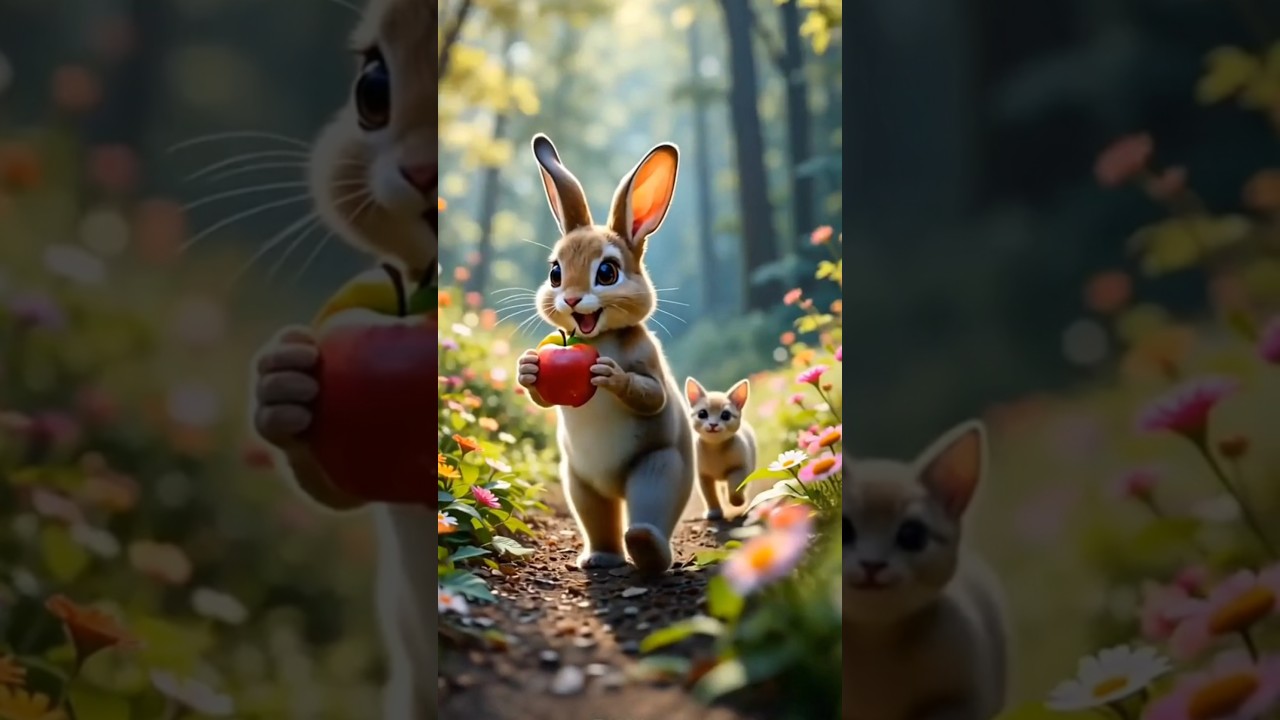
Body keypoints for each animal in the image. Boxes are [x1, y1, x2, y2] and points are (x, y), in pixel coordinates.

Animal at [514, 133, 696, 577]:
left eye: (607, 272)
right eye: (555, 273)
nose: (571, 299)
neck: (596, 339)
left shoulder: (647, 357)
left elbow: (652, 395)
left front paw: (609, 375)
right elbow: (540, 395)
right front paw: (528, 368)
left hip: (660, 467)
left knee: (650, 508)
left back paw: (647, 549)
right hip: (580, 481)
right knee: (599, 518)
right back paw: (600, 558)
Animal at [684, 377, 757, 520]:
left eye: (725, 415)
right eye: (702, 413)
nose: (713, 424)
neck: (715, 448)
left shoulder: (740, 468)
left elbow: (735, 488)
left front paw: (737, 501)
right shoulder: (703, 476)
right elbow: (709, 495)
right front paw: (714, 511)